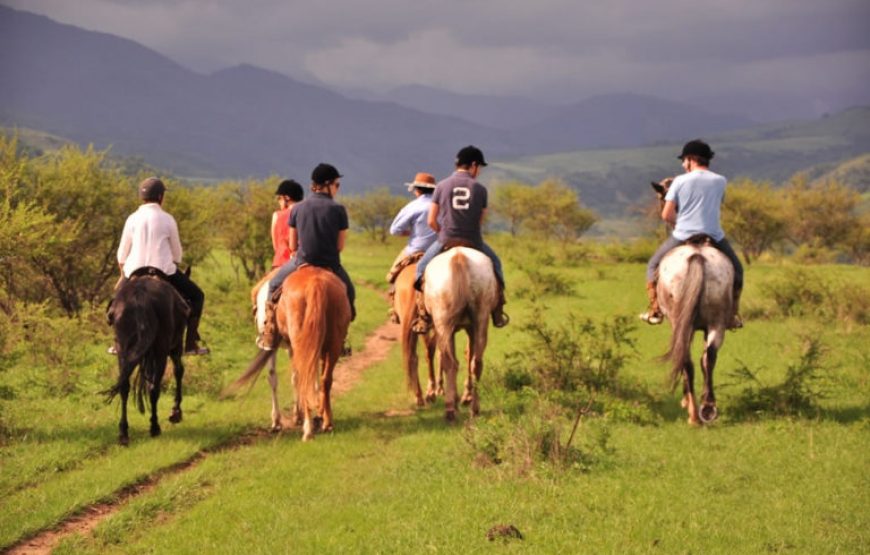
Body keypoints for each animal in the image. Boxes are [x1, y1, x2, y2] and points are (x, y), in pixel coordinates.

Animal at [105, 270, 189, 448]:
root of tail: (140, 298)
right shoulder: (175, 347)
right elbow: (178, 372)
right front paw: (176, 412)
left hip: (123, 349)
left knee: (124, 387)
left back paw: (123, 434)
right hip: (161, 351)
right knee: (154, 387)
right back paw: (154, 427)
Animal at [235, 268, 354, 440]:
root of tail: (315, 283)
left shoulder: (276, 347)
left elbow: (277, 378)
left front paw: (279, 420)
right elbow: (304, 378)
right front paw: (308, 412)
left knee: (301, 377)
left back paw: (307, 429)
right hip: (332, 344)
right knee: (324, 379)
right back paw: (326, 422)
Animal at [420, 248, 498, 422]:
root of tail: (459, 257)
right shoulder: (468, 327)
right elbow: (467, 355)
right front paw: (463, 397)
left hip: (443, 322)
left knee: (449, 362)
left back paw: (450, 410)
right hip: (481, 318)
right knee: (476, 362)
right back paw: (474, 408)